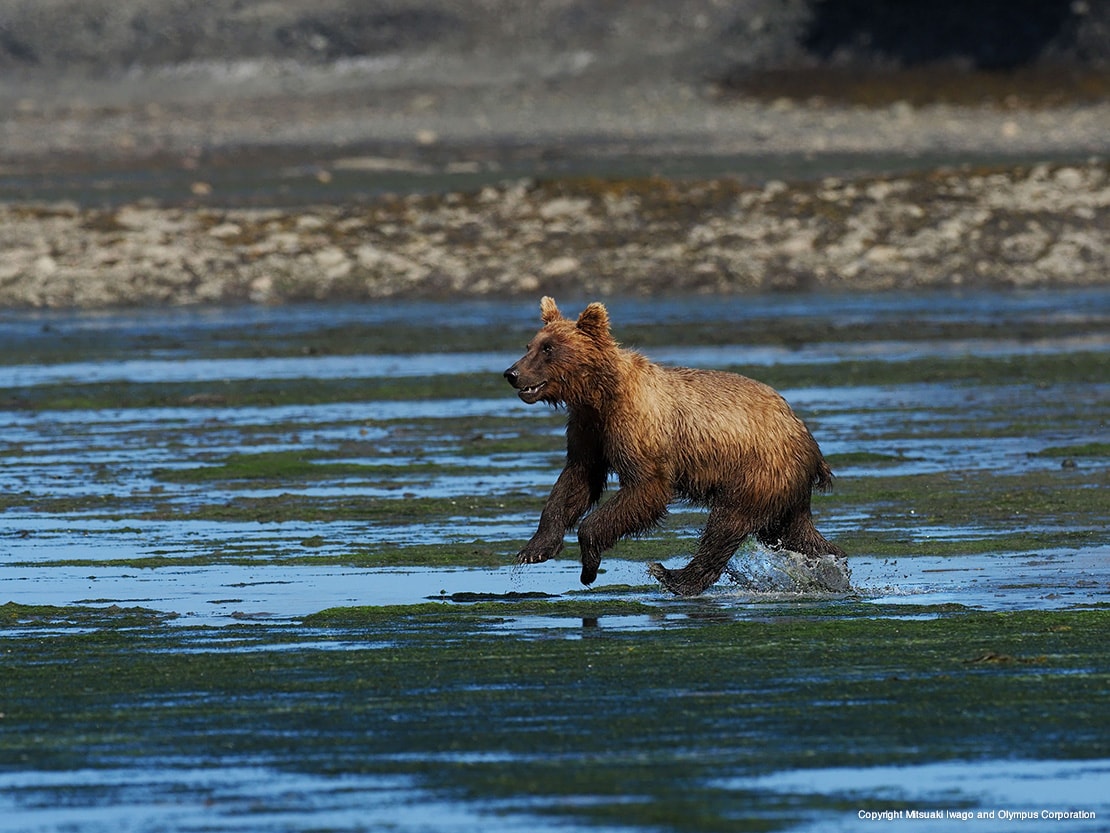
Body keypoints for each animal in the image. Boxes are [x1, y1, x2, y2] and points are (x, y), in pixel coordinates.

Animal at [499, 297, 843, 595]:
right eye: (530, 346)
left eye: (548, 349)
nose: (512, 373)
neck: (599, 394)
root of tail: (806, 438)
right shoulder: (588, 430)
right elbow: (576, 481)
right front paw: (534, 549)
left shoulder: (636, 427)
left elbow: (645, 487)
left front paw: (589, 564)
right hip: (782, 489)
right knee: (792, 533)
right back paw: (832, 564)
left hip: (758, 470)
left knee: (726, 525)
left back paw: (676, 577)